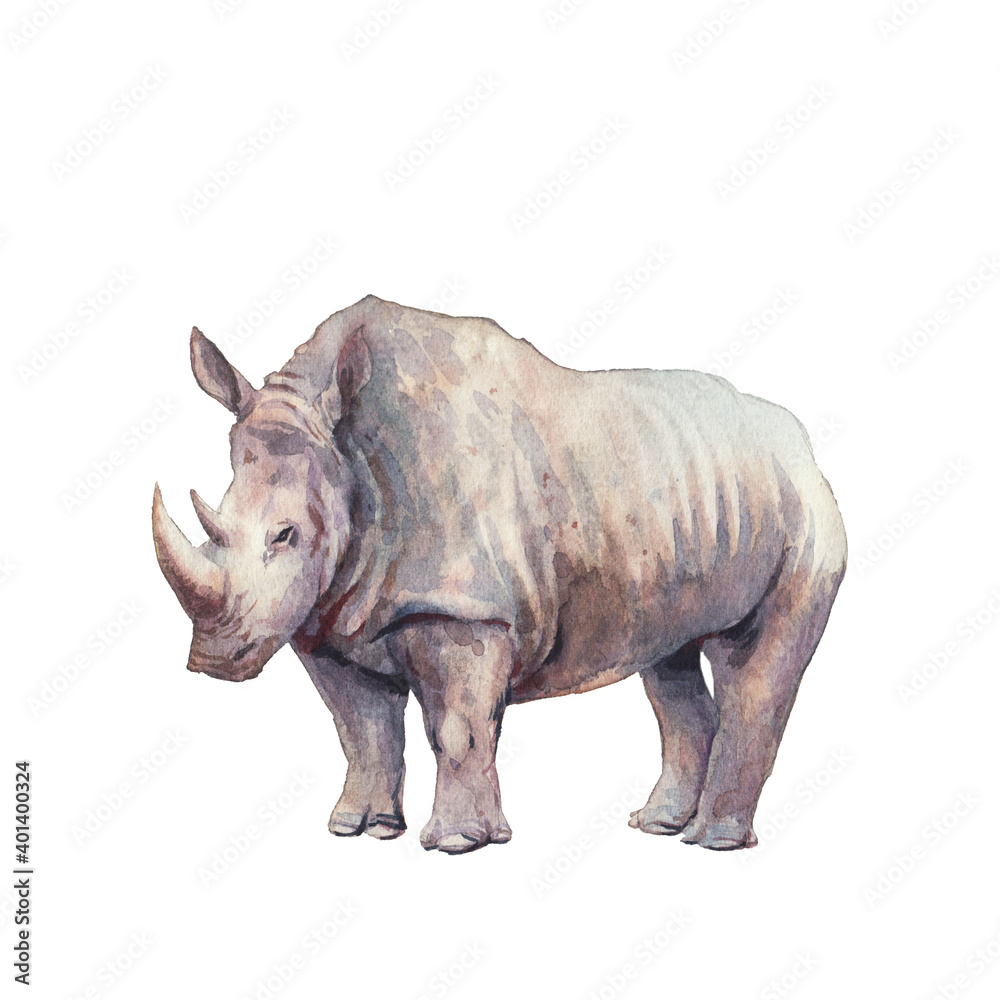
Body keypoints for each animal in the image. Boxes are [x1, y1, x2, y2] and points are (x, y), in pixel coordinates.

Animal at [152, 295, 846, 853]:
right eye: (215, 525)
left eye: (286, 535)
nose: (212, 658)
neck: (348, 454)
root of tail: (803, 446)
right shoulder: (327, 613)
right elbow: (359, 727)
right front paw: (359, 830)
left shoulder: (466, 609)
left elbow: (456, 727)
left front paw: (460, 844)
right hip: (688, 494)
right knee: (666, 658)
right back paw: (657, 825)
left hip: (799, 509)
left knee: (753, 670)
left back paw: (712, 842)